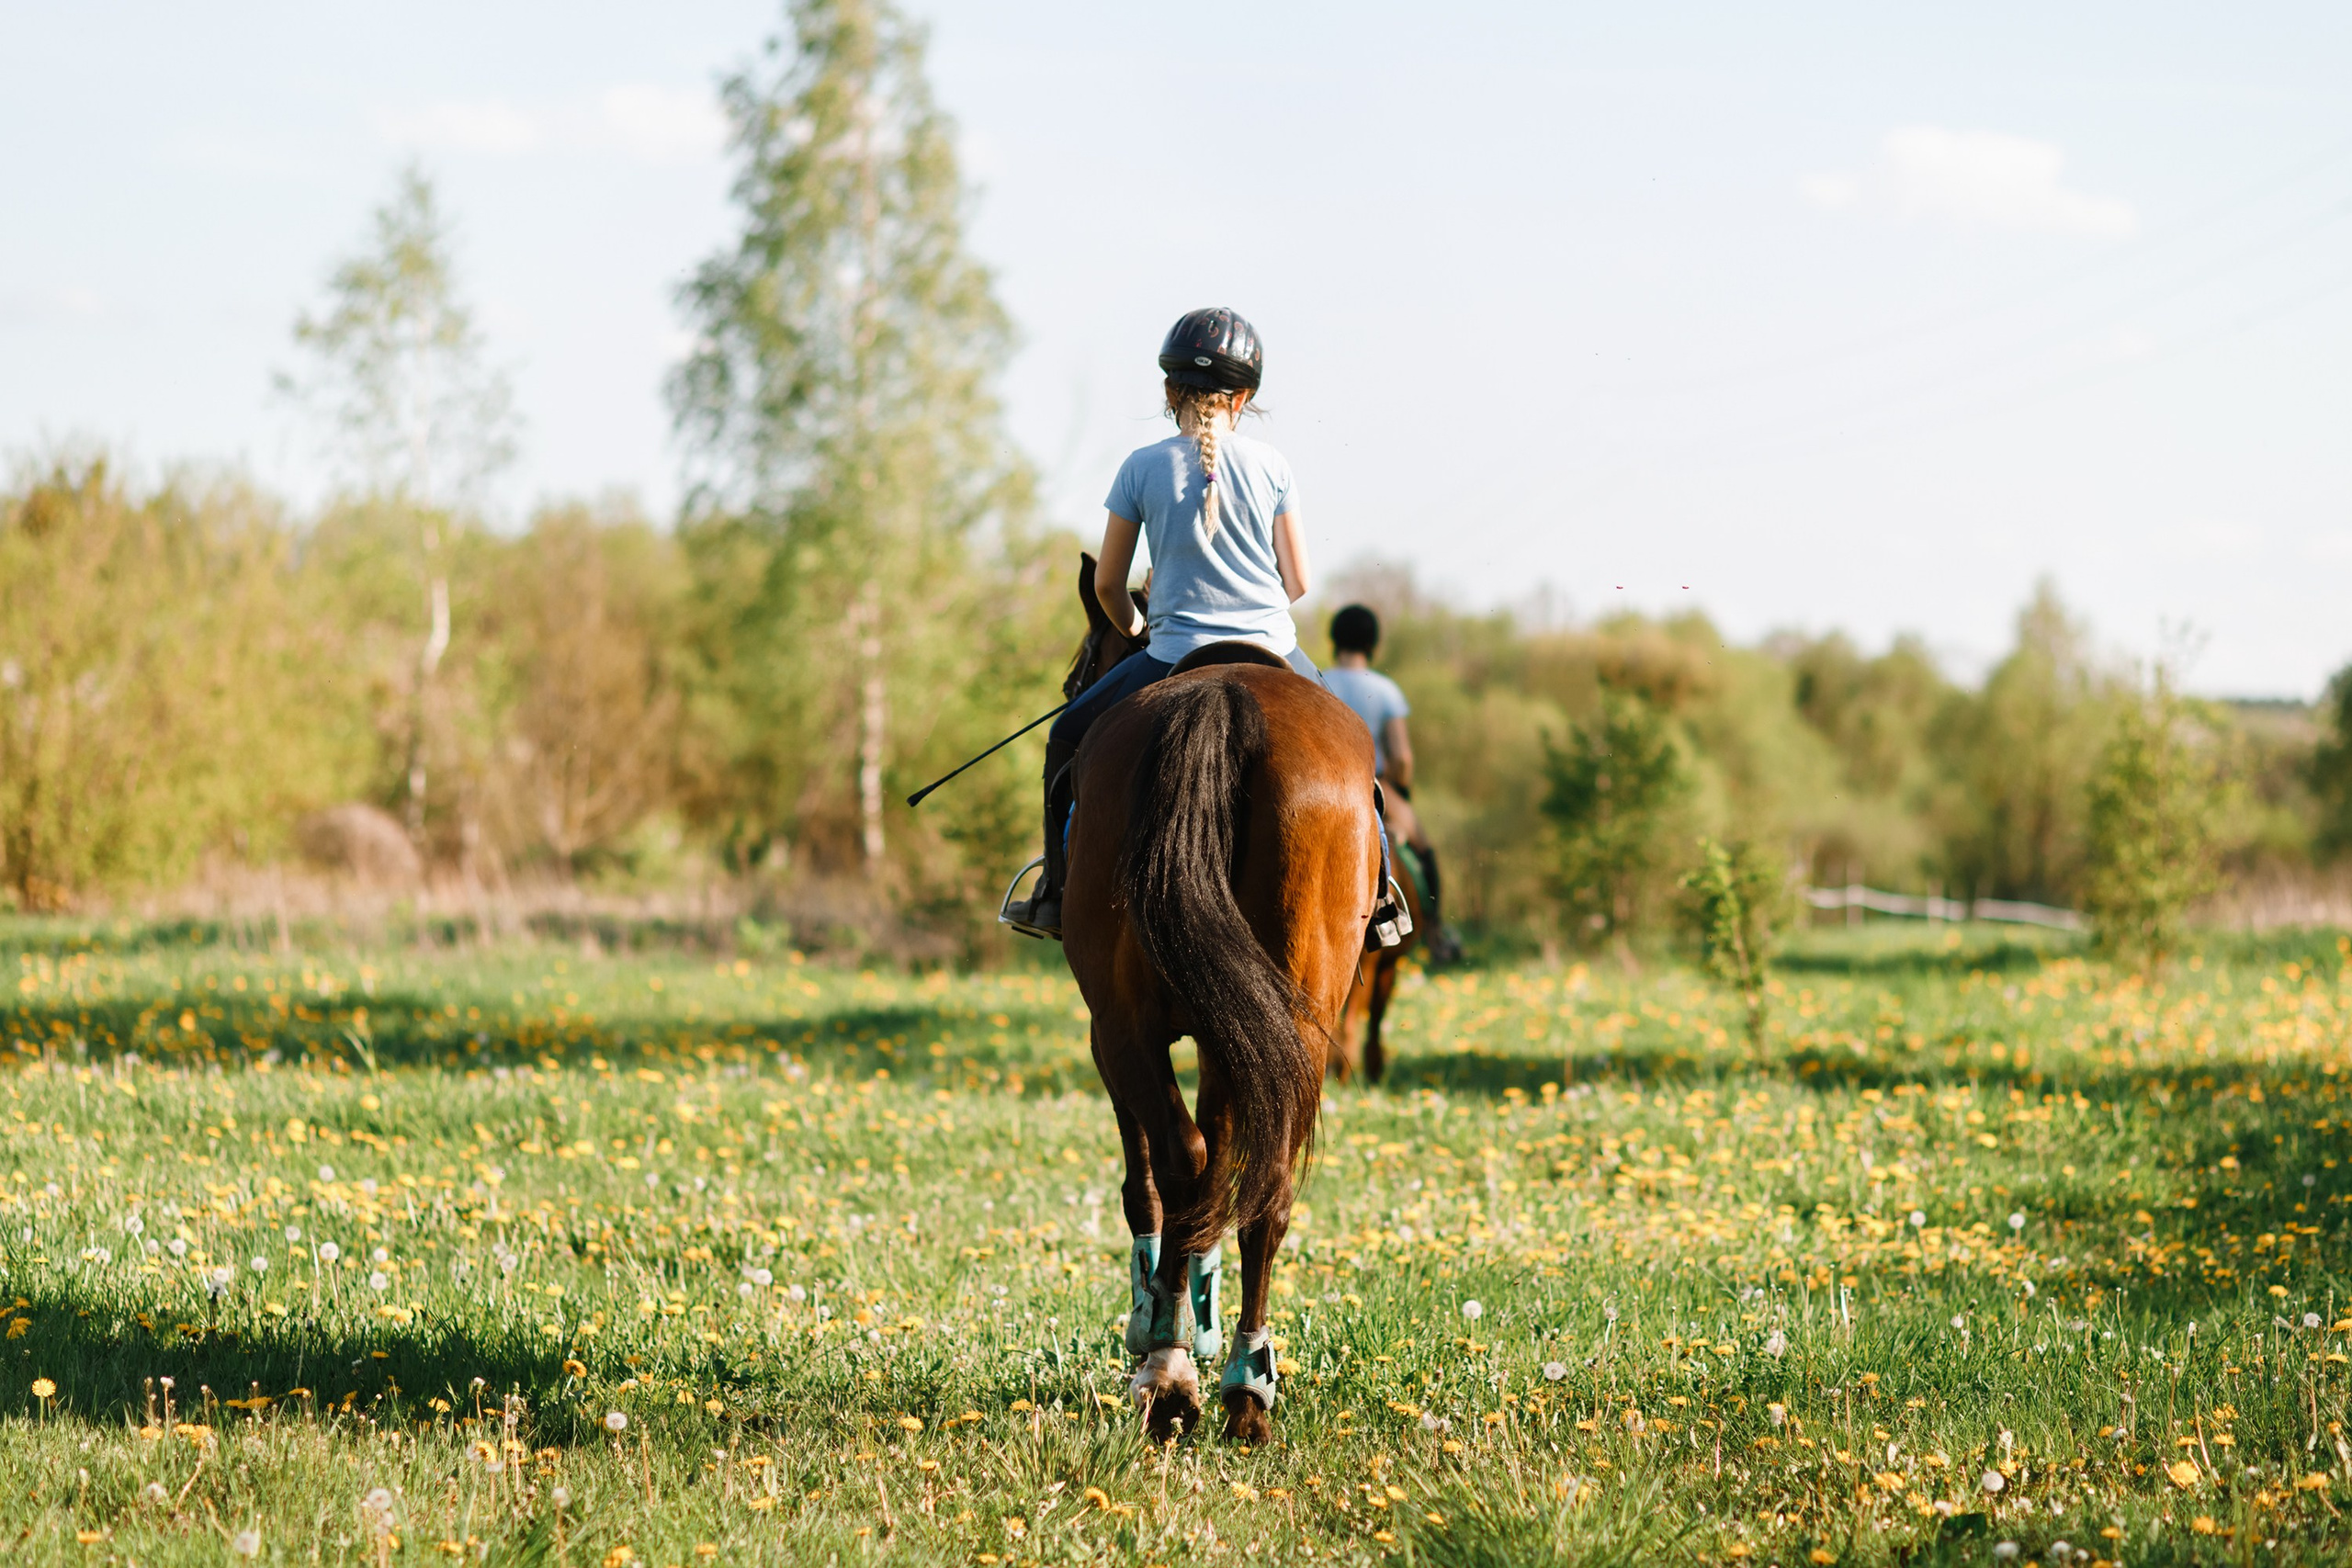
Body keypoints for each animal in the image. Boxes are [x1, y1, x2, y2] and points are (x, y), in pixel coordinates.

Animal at [1055, 554, 1383, 1444]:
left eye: (1077, 670)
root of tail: (1223, 698)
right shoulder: (1229, 1030)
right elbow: (1221, 1156)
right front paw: (1193, 1302)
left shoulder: (1109, 1032)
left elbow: (1149, 1175)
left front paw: (1157, 1314)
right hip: (1297, 1021)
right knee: (1265, 1185)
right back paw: (1245, 1380)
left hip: (1125, 1023)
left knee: (1180, 1155)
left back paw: (1166, 1371)